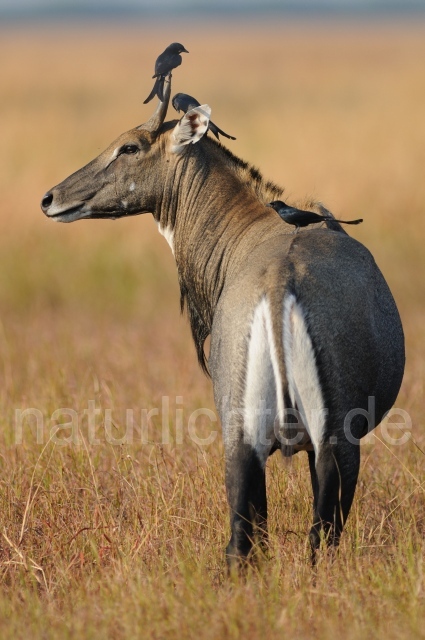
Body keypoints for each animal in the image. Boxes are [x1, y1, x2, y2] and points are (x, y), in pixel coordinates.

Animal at [40, 77, 404, 564]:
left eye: (129, 146)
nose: (50, 198)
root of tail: (278, 285)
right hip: (332, 442)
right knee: (316, 535)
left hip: (250, 440)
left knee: (246, 541)